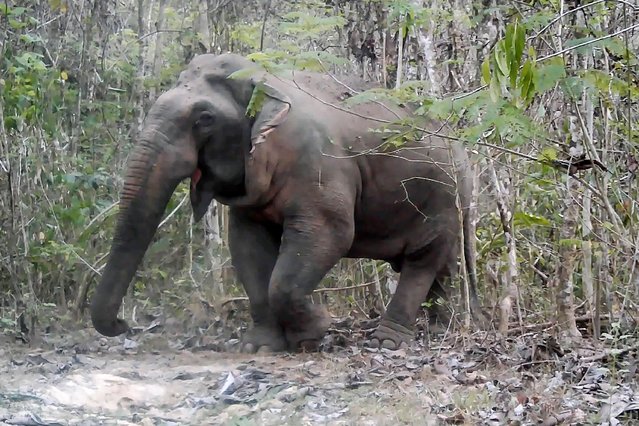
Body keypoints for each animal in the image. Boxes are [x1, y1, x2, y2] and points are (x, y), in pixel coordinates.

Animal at [91, 52, 484, 352]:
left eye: (204, 119)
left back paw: (389, 340)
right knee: (442, 267)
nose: (125, 324)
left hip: (440, 197)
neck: (264, 80)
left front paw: (316, 331)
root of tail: (464, 151)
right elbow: (247, 246)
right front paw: (261, 345)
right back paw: (439, 329)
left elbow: (330, 235)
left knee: (422, 260)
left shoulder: (319, 166)